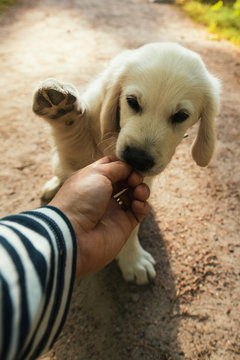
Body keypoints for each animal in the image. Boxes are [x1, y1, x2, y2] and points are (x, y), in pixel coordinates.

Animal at [32, 41, 221, 284]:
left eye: (180, 116)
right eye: (132, 101)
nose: (137, 158)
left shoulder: (142, 183)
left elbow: (131, 222)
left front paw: (133, 258)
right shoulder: (83, 154)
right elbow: (73, 133)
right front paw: (60, 109)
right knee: (62, 171)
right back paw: (54, 185)